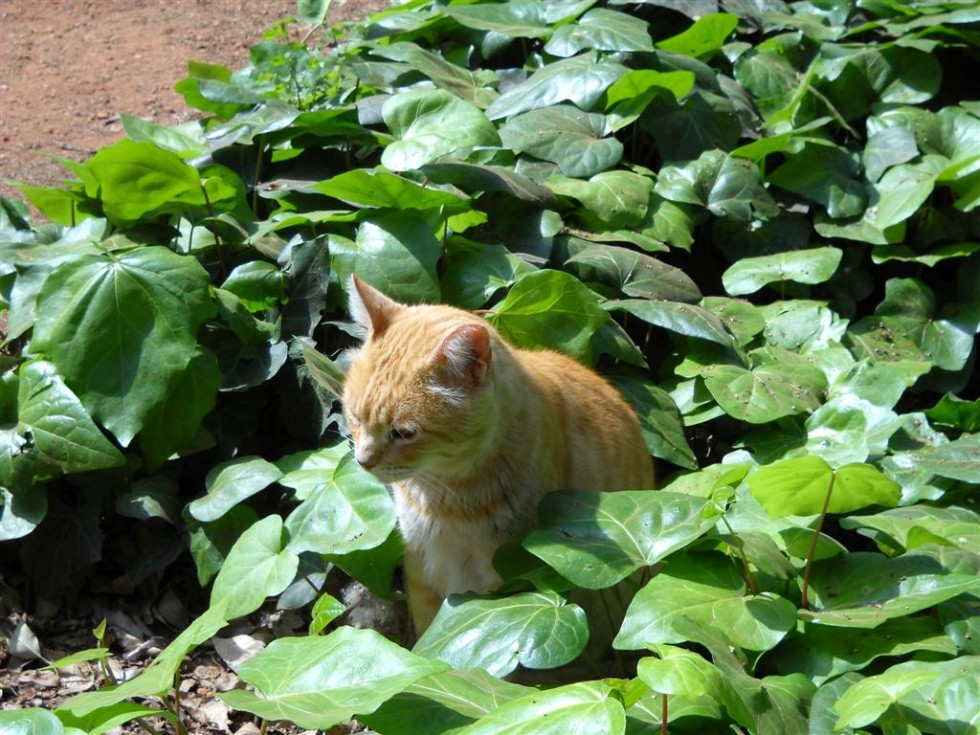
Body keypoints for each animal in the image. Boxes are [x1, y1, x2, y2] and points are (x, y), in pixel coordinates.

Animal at [340, 276, 656, 632]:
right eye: (355, 416)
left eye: (403, 433)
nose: (364, 461)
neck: (445, 496)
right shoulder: (421, 566)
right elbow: (428, 634)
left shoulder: (503, 575)